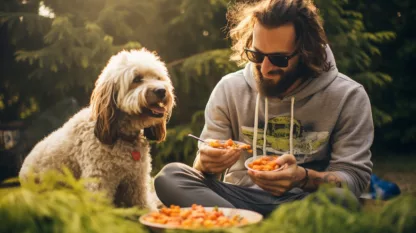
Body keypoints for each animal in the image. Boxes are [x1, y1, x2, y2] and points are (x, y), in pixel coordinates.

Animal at [18, 48, 175, 208]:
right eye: (136, 79)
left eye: (158, 77)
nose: (161, 91)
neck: (120, 135)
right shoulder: (98, 181)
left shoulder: (137, 182)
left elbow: (144, 205)